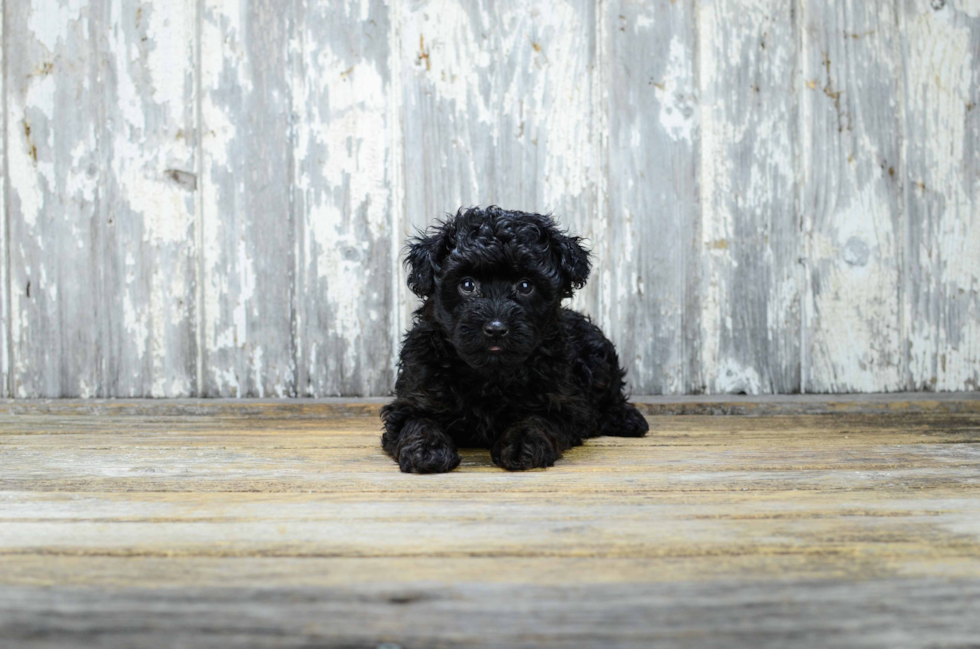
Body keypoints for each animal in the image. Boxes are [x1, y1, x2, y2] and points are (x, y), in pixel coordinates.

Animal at [382, 205, 652, 474]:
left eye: (525, 286)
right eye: (467, 285)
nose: (496, 328)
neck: (490, 375)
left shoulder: (561, 402)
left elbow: (536, 419)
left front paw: (523, 444)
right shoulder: (414, 396)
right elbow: (418, 420)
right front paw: (428, 449)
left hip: (598, 355)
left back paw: (626, 418)